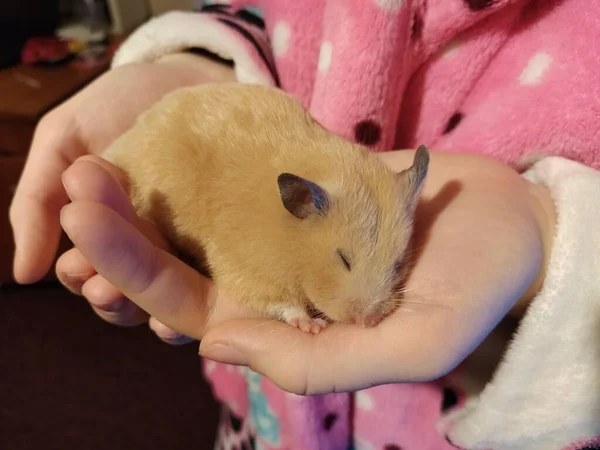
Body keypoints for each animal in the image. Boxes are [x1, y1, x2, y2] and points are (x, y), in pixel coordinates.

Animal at [104, 81, 432, 334]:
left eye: (398, 265)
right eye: (343, 260)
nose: (368, 321)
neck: (293, 243)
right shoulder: (246, 267)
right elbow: (280, 302)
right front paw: (311, 325)